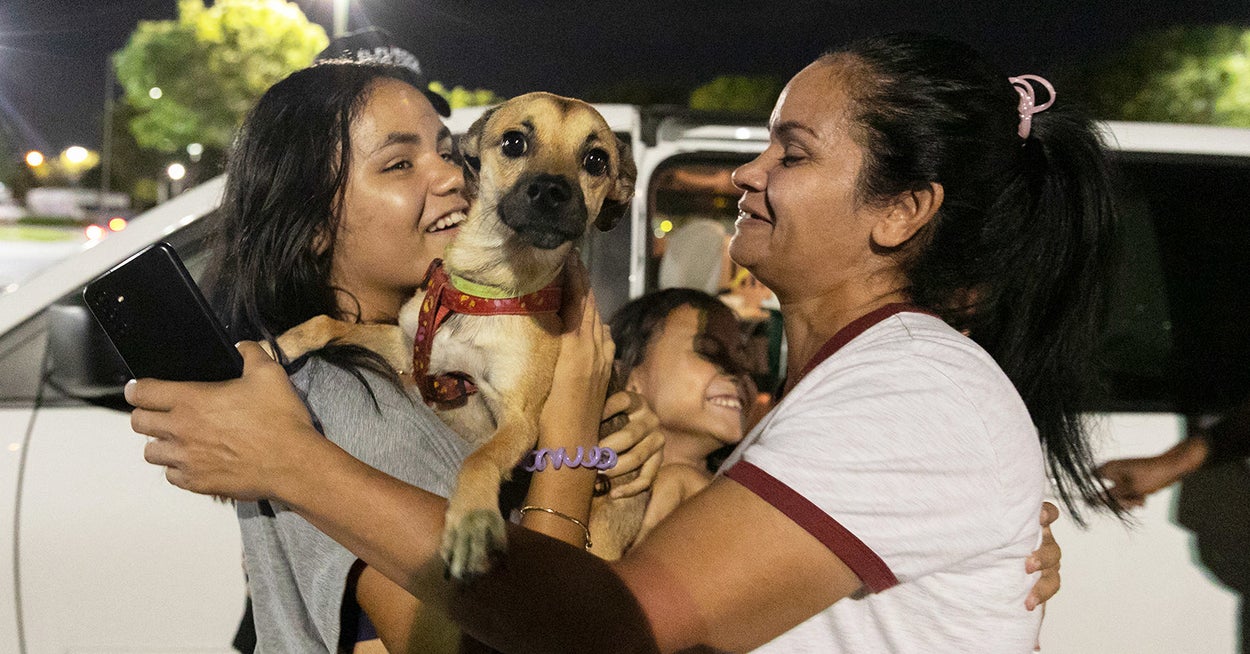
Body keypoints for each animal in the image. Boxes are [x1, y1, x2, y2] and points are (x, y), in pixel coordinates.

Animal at [280, 93, 640, 577]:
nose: (551, 190)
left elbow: (479, 458)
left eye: (596, 160)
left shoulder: (519, 418)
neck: (485, 286)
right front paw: (286, 341)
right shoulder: (410, 349)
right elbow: (334, 324)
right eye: (514, 142)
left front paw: (472, 522)